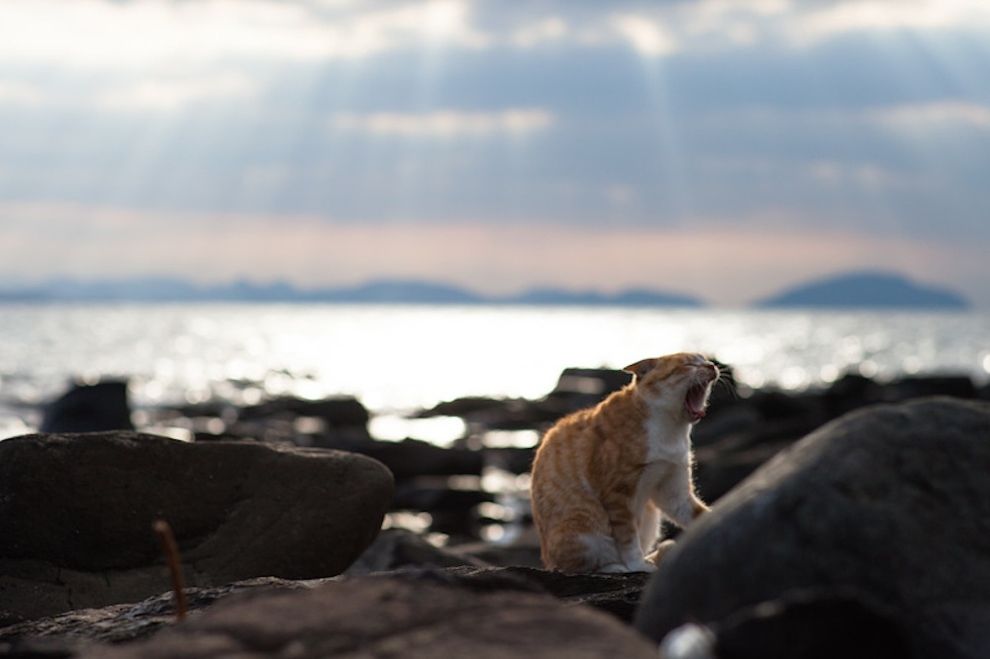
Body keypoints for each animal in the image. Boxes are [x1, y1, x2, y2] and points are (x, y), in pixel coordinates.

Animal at [532, 354, 716, 576]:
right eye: (688, 364)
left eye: (705, 360)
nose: (712, 366)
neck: (671, 428)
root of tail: (546, 560)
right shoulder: (617, 495)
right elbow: (628, 539)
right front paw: (638, 565)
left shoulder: (673, 489)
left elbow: (696, 513)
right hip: (582, 530)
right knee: (581, 564)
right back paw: (618, 566)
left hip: (650, 516)